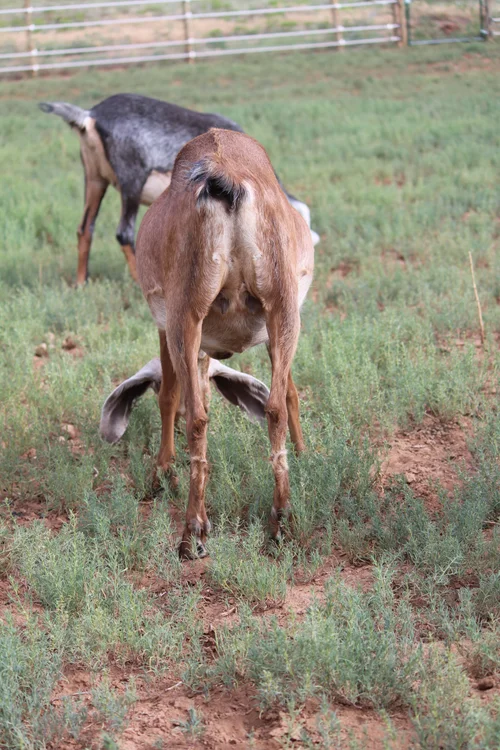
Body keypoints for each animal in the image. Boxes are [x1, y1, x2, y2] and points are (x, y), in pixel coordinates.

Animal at [39, 94, 319, 286]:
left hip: (95, 178)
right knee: (124, 232)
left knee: (85, 227)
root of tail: (90, 115)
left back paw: (81, 283)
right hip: (132, 181)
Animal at [133, 128, 314, 558]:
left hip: (184, 319)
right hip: (283, 314)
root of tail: (225, 177)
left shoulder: (167, 328)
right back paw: (279, 522)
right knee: (274, 407)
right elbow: (288, 393)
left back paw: (193, 532)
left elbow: (169, 397)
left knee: (197, 418)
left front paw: (161, 473)